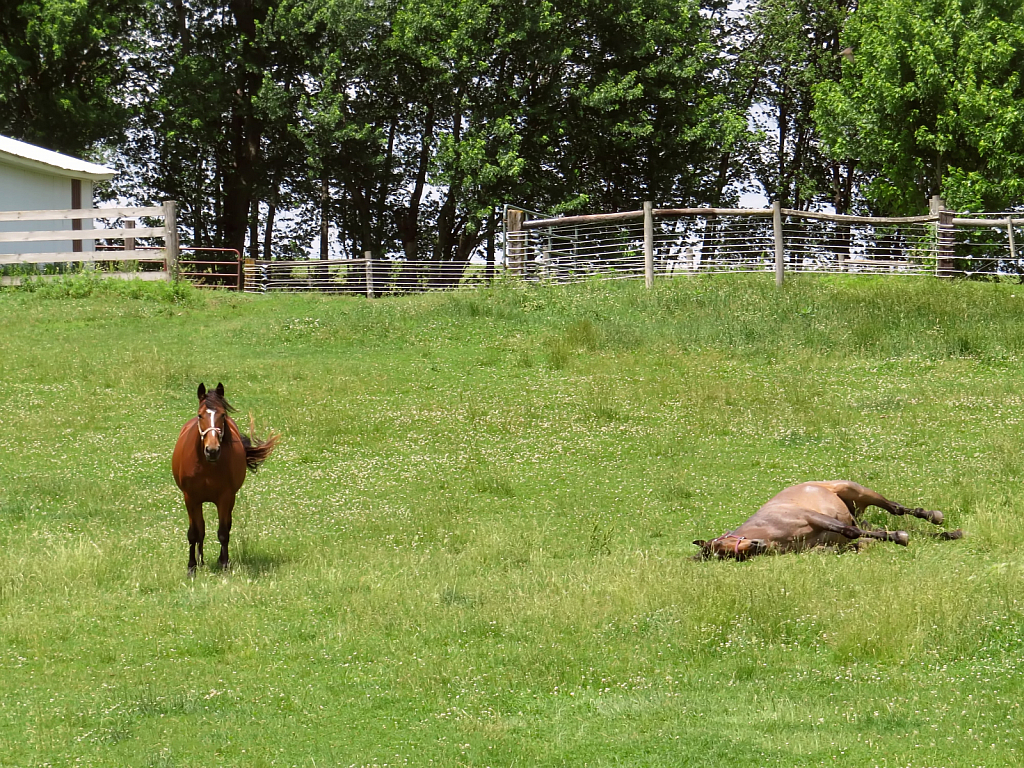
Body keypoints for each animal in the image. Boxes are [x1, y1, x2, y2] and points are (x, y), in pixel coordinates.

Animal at [172, 385, 278, 577]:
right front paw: (192, 567)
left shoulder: (225, 497)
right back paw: (200, 561)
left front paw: (224, 565)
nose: (212, 450)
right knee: (201, 529)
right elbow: (194, 533)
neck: (207, 465)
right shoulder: (190, 498)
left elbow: (223, 532)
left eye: (222, 415)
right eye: (200, 415)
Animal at [692, 483, 962, 561]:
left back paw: (934, 517)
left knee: (895, 509)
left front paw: (899, 538)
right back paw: (951, 534)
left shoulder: (812, 517)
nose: (756, 546)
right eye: (725, 555)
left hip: (857, 491)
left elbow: (848, 531)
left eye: (721, 544)